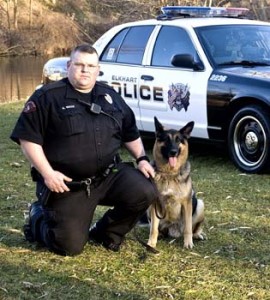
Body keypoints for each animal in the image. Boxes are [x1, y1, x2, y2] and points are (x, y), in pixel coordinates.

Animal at [148, 116, 205, 248]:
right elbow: (153, 229)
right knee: (158, 228)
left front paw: (188, 243)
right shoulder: (155, 204)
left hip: (200, 205)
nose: (173, 152)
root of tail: (173, 230)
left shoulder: (187, 204)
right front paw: (151, 243)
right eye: (166, 140)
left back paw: (197, 235)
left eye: (178, 140)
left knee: (194, 228)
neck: (169, 174)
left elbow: (188, 227)